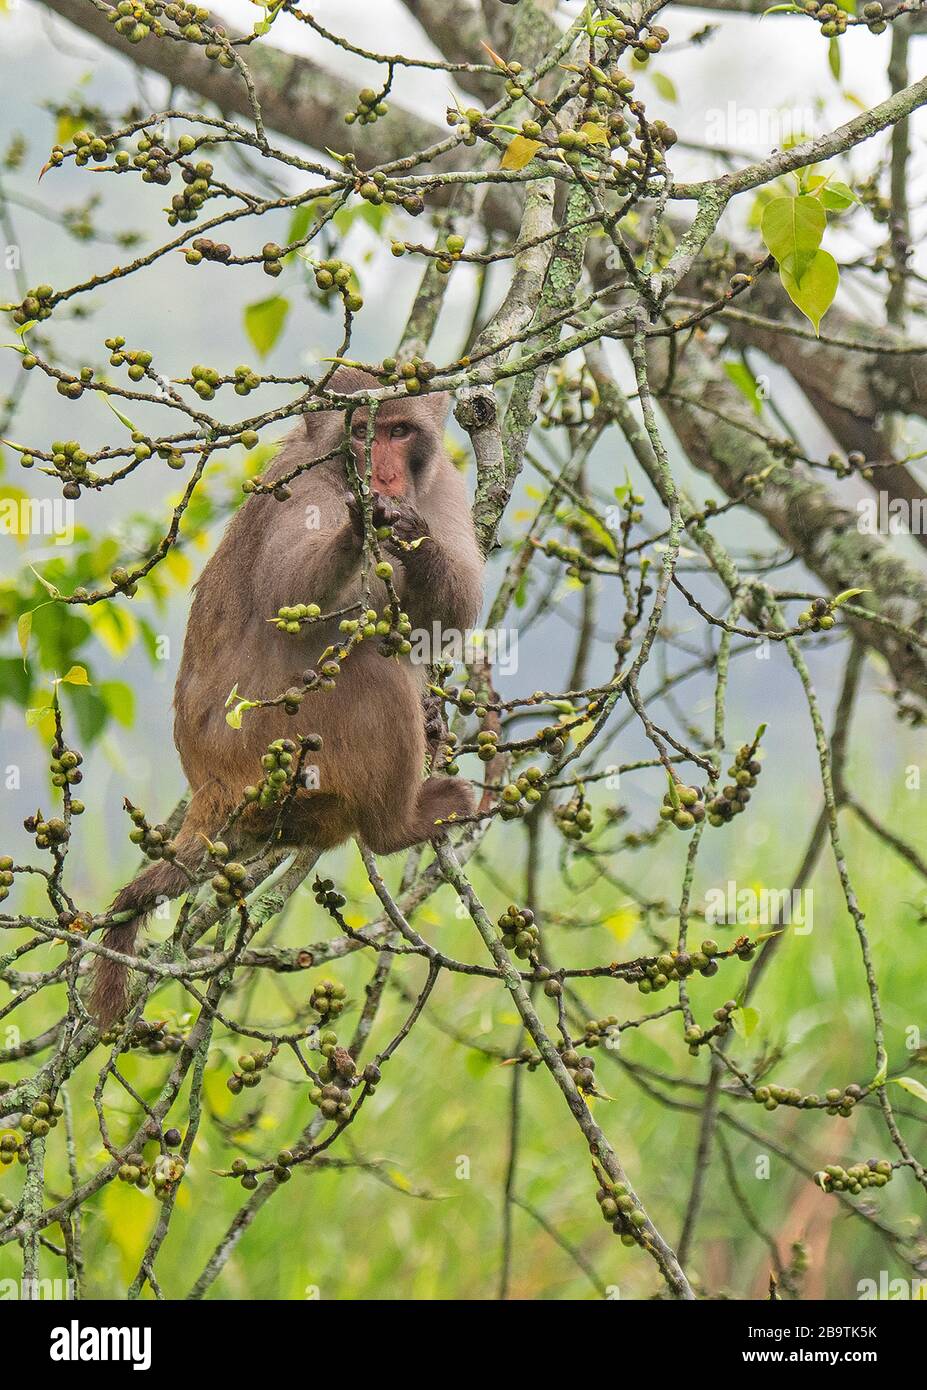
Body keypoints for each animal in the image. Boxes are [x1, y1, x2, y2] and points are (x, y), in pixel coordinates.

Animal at [90, 369, 486, 1023]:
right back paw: (396, 825)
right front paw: (359, 531)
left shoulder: (443, 486)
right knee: (368, 666)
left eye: (400, 432)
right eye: (363, 432)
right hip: (269, 750)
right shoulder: (299, 493)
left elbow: (445, 615)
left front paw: (415, 537)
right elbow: (289, 598)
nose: (384, 477)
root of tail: (210, 785)